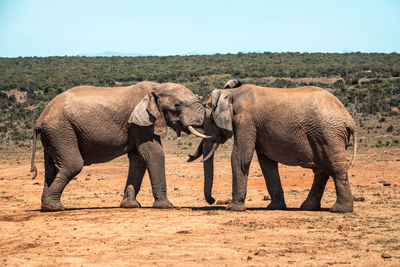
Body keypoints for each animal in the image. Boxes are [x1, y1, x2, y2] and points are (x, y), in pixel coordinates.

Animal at [30, 81, 209, 211]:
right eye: (177, 105)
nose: (189, 156)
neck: (156, 87)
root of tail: (39, 119)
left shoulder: (137, 127)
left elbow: (138, 159)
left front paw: (131, 206)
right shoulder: (141, 124)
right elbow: (154, 154)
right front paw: (166, 206)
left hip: (53, 135)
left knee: (51, 169)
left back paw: (46, 207)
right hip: (61, 131)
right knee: (72, 165)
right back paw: (55, 208)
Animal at [189, 80, 358, 215]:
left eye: (210, 120)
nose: (212, 200)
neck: (233, 93)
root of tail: (349, 118)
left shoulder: (245, 121)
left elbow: (240, 156)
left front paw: (233, 208)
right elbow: (267, 164)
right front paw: (275, 207)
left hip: (329, 133)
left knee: (335, 167)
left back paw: (339, 210)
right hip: (325, 135)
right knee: (322, 171)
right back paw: (308, 207)